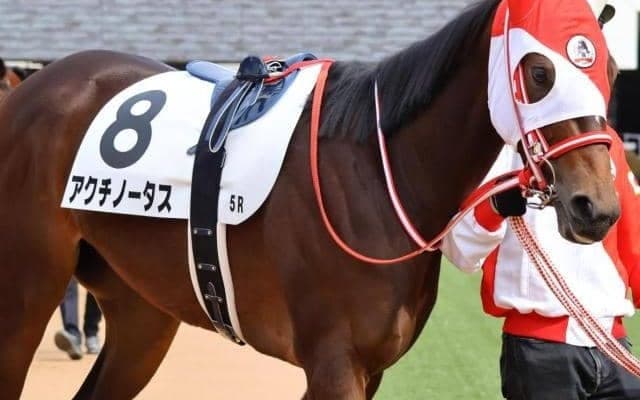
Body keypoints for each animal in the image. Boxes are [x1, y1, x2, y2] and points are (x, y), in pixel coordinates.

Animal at [0, 0, 620, 398]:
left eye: (611, 70)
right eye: (539, 71)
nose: (598, 207)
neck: (377, 175)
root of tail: (31, 89)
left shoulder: (367, 370)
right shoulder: (334, 364)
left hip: (142, 310)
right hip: (27, 291)